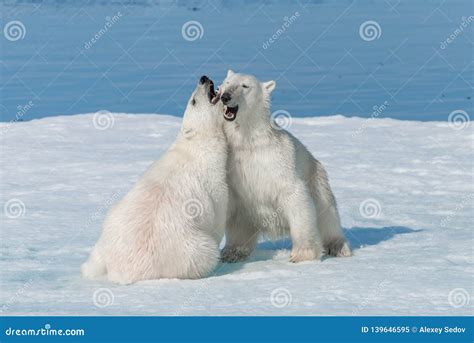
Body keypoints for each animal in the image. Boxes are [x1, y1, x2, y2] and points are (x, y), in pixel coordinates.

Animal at [81, 77, 228, 284]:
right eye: (193, 100)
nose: (203, 78)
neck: (196, 145)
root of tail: (121, 272)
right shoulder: (213, 182)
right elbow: (217, 218)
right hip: (189, 250)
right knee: (204, 254)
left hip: (108, 228)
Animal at [220, 70, 350, 264]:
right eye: (226, 83)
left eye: (245, 86)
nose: (225, 96)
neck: (248, 140)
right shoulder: (232, 165)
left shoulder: (277, 161)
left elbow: (294, 194)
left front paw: (302, 253)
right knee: (240, 225)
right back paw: (232, 252)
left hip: (316, 177)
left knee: (327, 213)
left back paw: (338, 247)